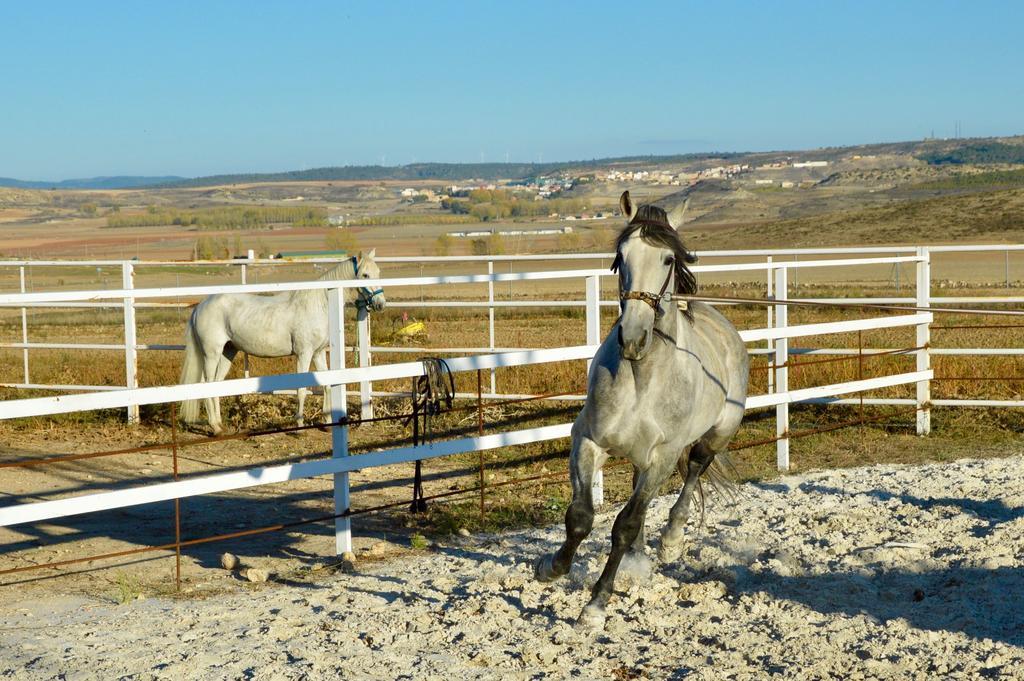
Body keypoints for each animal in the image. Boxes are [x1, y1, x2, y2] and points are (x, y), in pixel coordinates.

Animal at [178, 250, 385, 436]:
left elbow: (326, 385)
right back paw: (214, 427)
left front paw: (327, 423)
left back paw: (221, 426)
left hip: (228, 351)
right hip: (211, 353)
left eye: (378, 272)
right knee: (207, 384)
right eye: (365, 275)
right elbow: (301, 390)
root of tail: (200, 306)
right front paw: (299, 427)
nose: (380, 304)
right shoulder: (304, 354)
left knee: (217, 384)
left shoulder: (318, 353)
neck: (319, 304)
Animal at [536, 189, 745, 626]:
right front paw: (550, 567)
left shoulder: (661, 459)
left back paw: (671, 541)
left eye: (667, 259)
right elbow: (580, 517)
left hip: (714, 436)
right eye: (621, 255)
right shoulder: (588, 441)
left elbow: (625, 525)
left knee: (693, 473)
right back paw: (641, 556)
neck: (642, 377)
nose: (632, 337)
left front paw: (595, 606)